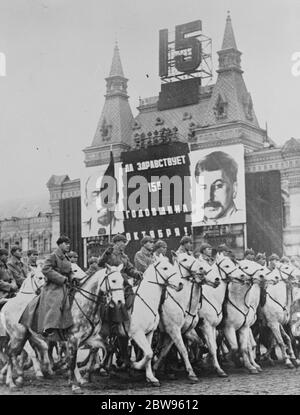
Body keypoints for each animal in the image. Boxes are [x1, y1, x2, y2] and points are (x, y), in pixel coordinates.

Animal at [123, 258, 182, 388]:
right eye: (165, 268)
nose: (181, 284)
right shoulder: (137, 333)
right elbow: (149, 354)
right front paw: (135, 365)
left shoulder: (149, 333)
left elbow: (148, 354)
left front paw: (151, 377)